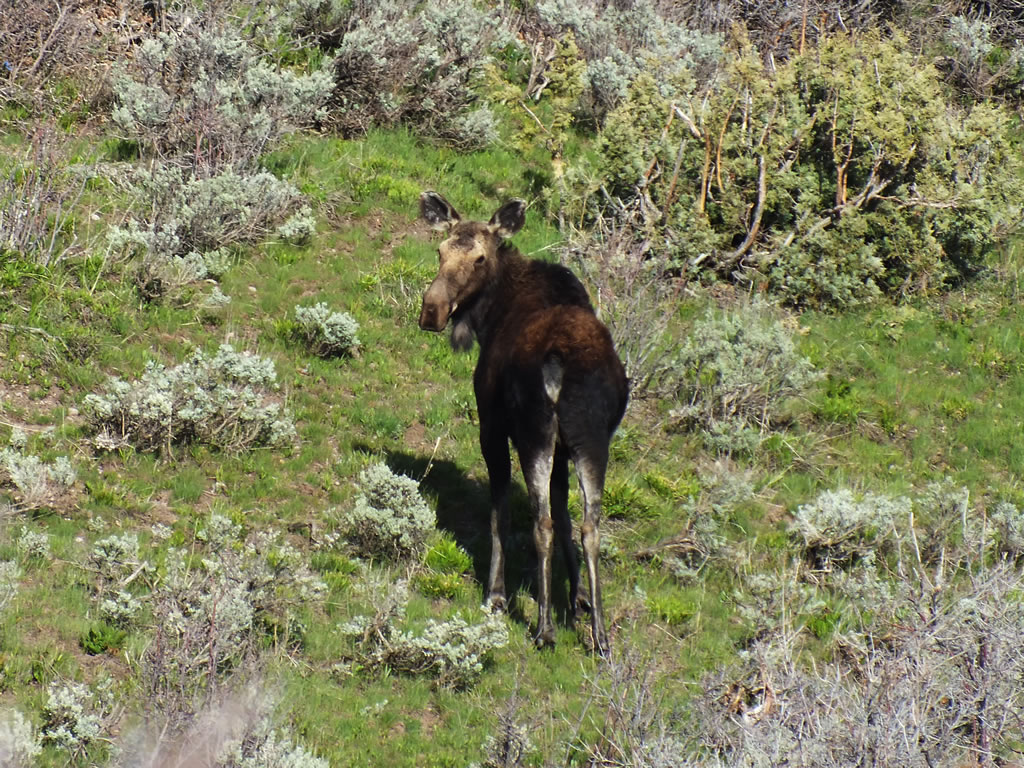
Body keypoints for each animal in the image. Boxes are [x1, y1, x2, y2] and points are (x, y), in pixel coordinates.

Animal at [417, 191, 628, 655]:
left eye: (479, 258)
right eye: (439, 251)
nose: (432, 310)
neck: (489, 316)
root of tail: (560, 363)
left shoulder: (492, 426)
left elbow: (500, 512)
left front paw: (496, 594)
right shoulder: (567, 448)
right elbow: (567, 515)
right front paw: (579, 598)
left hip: (534, 435)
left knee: (541, 523)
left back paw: (544, 628)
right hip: (591, 441)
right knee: (590, 526)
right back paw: (600, 636)